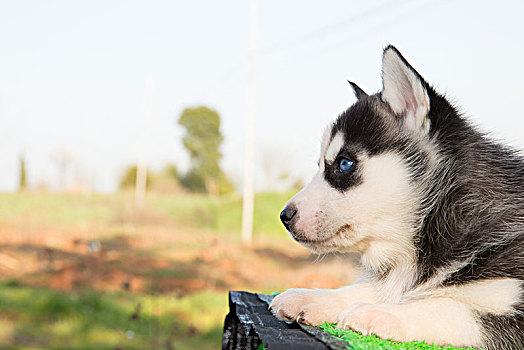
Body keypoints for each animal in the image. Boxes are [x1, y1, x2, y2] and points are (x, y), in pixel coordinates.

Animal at [270, 45, 524, 348]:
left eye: (344, 163)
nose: (284, 216)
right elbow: (369, 288)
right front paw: (312, 296)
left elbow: (448, 307)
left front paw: (380, 313)